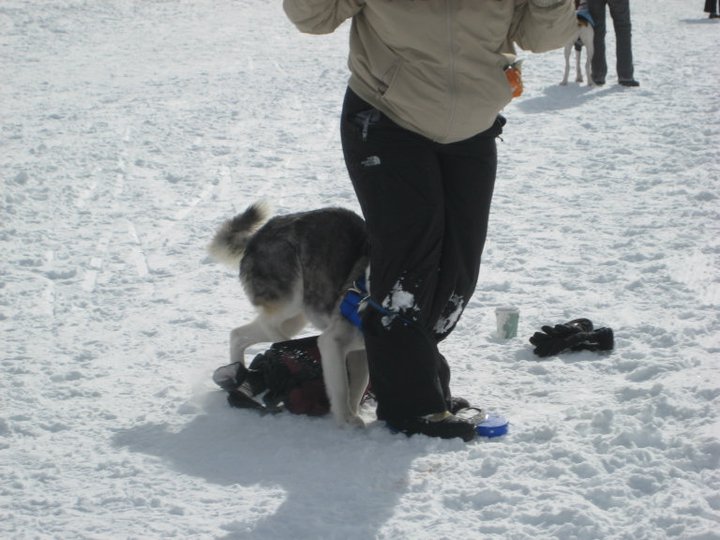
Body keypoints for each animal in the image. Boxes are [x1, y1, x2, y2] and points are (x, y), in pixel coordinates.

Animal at [205, 202, 368, 426]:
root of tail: (255, 239)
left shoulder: (359, 350)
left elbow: (358, 385)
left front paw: (354, 414)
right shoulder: (332, 341)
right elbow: (342, 389)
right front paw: (348, 422)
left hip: (297, 316)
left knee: (238, 334)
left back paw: (240, 370)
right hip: (291, 297)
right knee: (269, 325)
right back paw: (286, 349)